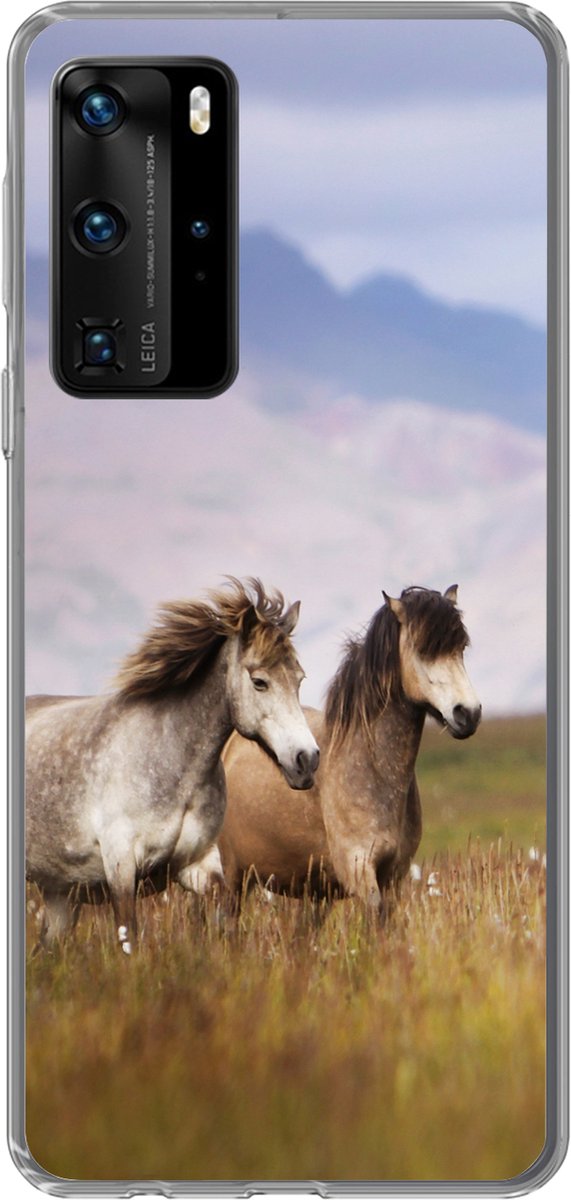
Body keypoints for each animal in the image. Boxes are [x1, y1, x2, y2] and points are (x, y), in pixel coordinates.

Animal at [25, 578, 320, 952]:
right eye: (259, 682)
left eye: (299, 679)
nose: (306, 760)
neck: (173, 764)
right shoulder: (121, 868)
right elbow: (129, 937)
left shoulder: (197, 864)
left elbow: (224, 914)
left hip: (59, 895)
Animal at [190, 585, 481, 912]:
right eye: (422, 649)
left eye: (461, 648)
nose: (468, 714)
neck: (374, 768)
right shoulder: (359, 869)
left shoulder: (394, 875)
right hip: (230, 880)